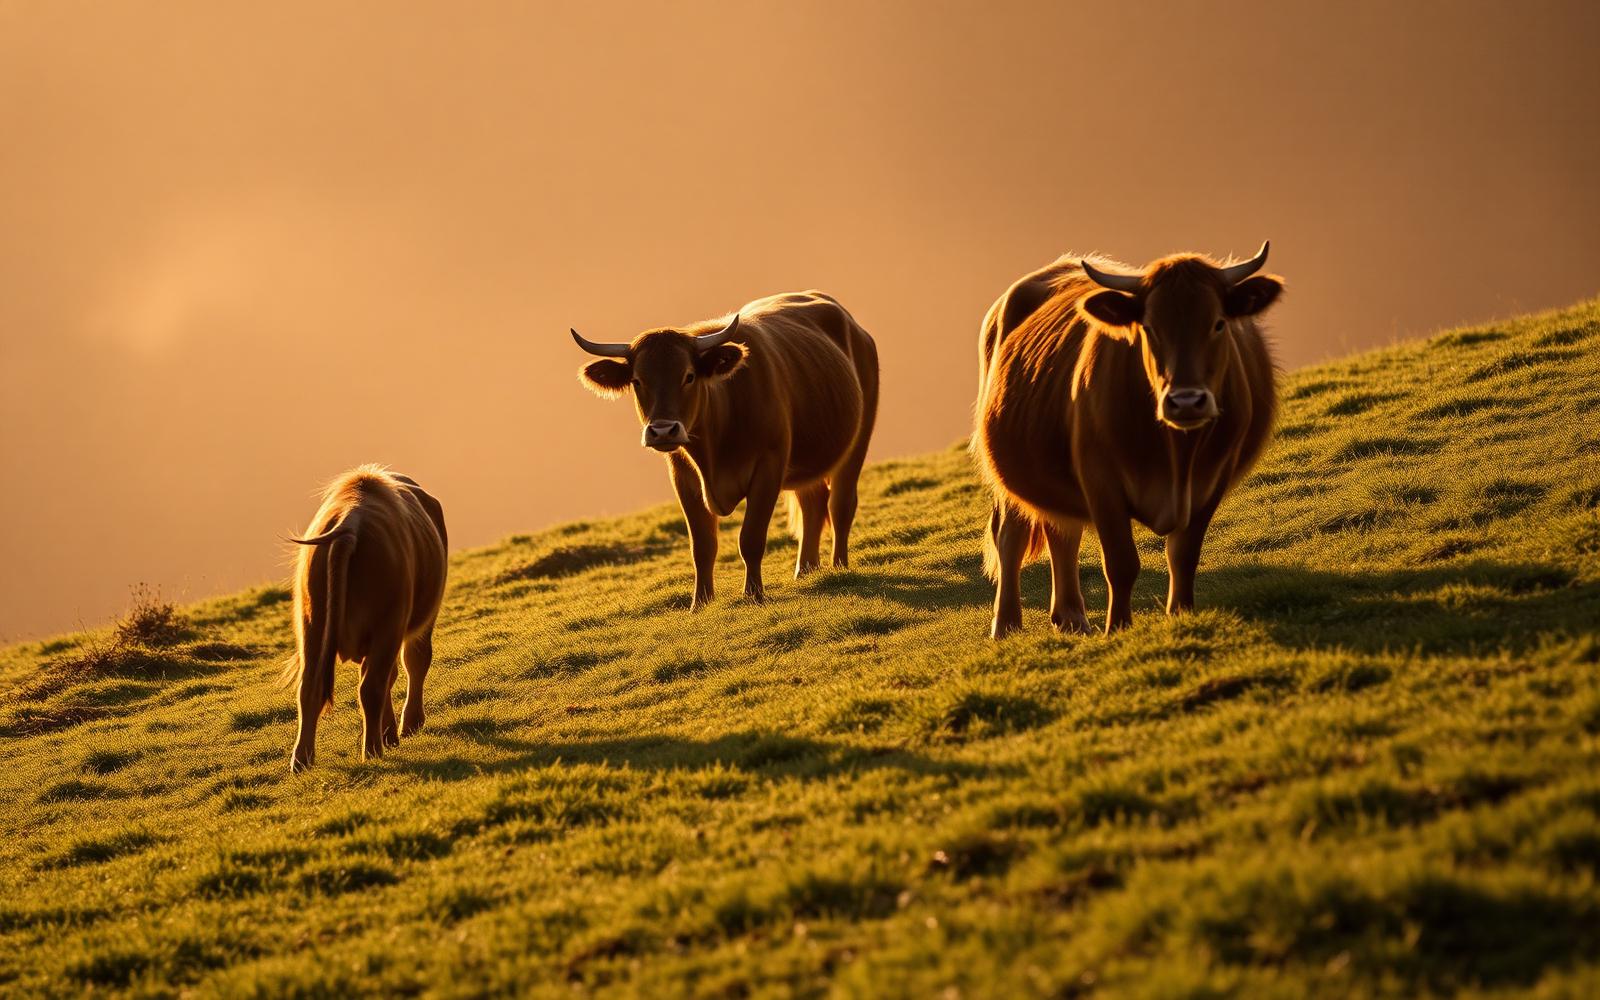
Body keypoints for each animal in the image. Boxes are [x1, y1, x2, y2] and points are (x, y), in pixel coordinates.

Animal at [285, 465, 448, 772]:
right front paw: (406, 726)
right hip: (389, 623)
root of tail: (349, 527)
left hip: (311, 624)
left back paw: (302, 760)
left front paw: (392, 732)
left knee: (310, 687)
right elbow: (412, 662)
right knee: (376, 683)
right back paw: (372, 749)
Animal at [572, 291, 879, 608]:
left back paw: (839, 565)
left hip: (857, 441)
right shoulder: (683, 477)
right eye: (637, 380)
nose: (663, 430)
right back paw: (805, 570)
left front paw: (753, 593)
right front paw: (700, 603)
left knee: (840, 504)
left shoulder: (769, 467)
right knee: (813, 505)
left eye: (689, 376)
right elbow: (702, 546)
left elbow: (751, 538)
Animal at [972, 243, 1281, 637]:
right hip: (1009, 474)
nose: (1186, 401)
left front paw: (1180, 614)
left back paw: (1071, 617)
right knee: (1010, 536)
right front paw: (1118, 627)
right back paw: (1007, 624)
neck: (1176, 457)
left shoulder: (1214, 479)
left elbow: (1184, 555)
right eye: (1149, 327)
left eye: (1218, 323)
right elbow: (1121, 563)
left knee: (1063, 530)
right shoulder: (1100, 480)